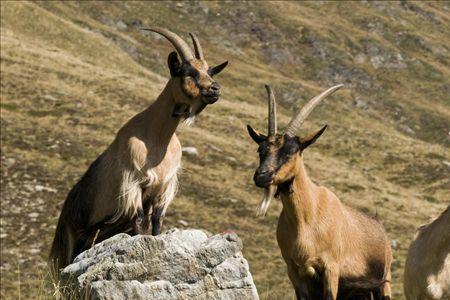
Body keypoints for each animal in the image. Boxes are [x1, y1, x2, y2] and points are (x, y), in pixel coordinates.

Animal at [49, 28, 229, 270]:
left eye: (209, 71)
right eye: (188, 72)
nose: (215, 89)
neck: (157, 138)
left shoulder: (163, 187)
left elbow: (157, 220)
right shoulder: (134, 183)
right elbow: (141, 221)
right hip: (74, 236)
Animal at [248, 85, 392, 300]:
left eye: (290, 151)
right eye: (261, 150)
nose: (261, 176)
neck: (307, 218)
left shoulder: (330, 268)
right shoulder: (294, 271)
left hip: (383, 282)